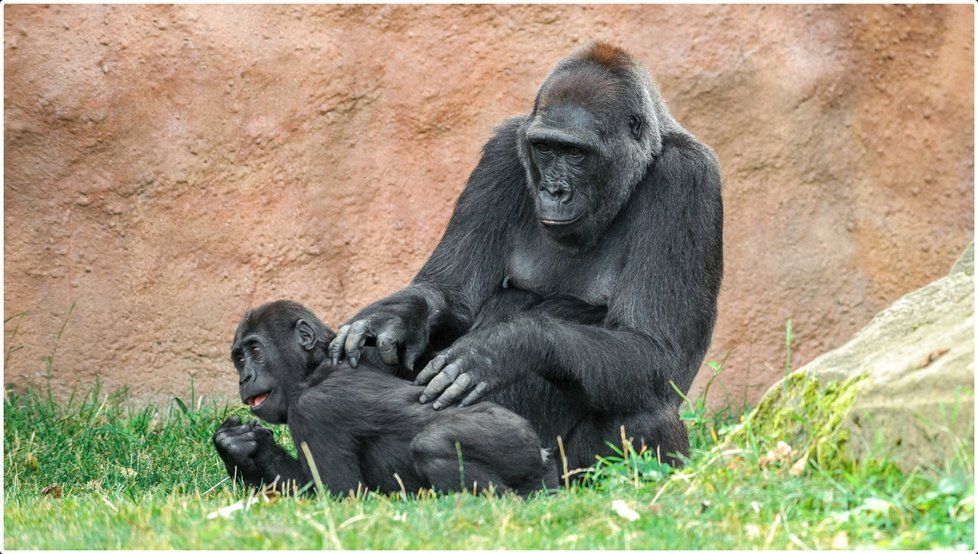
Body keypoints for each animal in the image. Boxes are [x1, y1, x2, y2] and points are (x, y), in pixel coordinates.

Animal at [214, 298, 564, 496]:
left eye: (255, 351)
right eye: (239, 358)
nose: (244, 378)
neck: (313, 370)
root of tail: (543, 452)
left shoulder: (313, 410)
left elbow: (341, 497)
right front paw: (239, 445)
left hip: (515, 438)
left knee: (433, 445)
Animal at [332, 41, 720, 468]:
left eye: (576, 153)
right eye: (545, 149)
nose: (554, 191)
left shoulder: (687, 180)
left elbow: (654, 348)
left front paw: (508, 348)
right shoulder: (501, 153)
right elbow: (449, 295)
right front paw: (394, 318)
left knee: (644, 410)